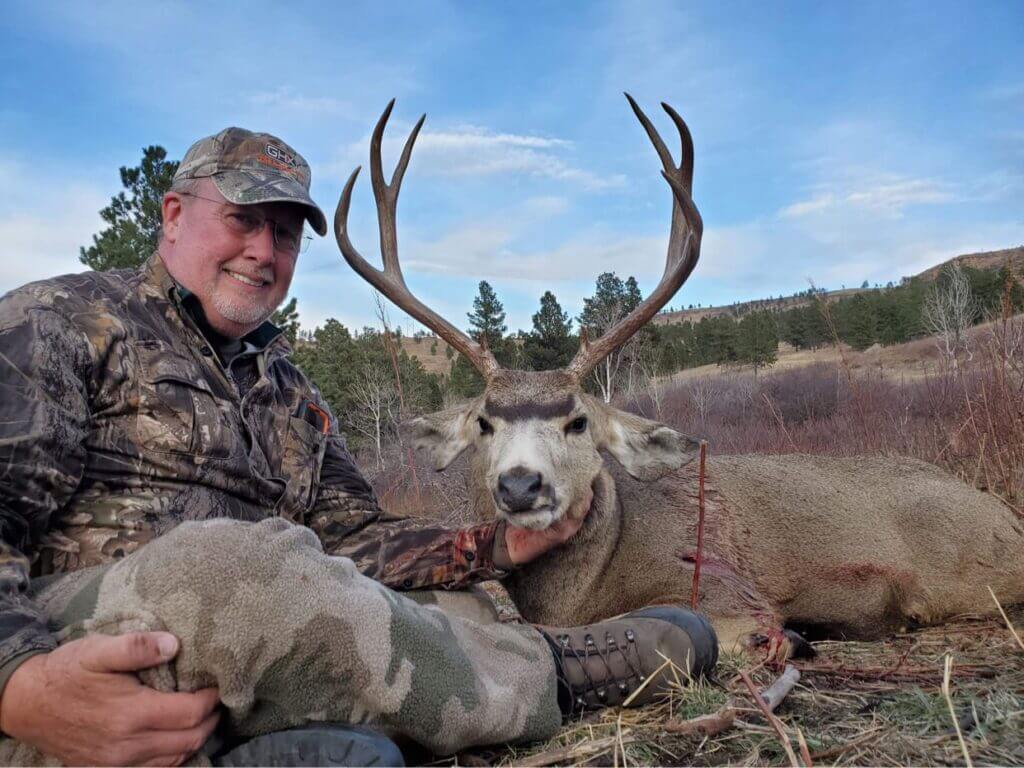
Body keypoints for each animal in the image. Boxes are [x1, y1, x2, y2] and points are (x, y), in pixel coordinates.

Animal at [334, 97, 1024, 660]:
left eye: (578, 420)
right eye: (483, 421)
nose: (521, 484)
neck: (587, 582)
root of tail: (1004, 512)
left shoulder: (722, 587)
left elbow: (747, 629)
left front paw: (795, 636)